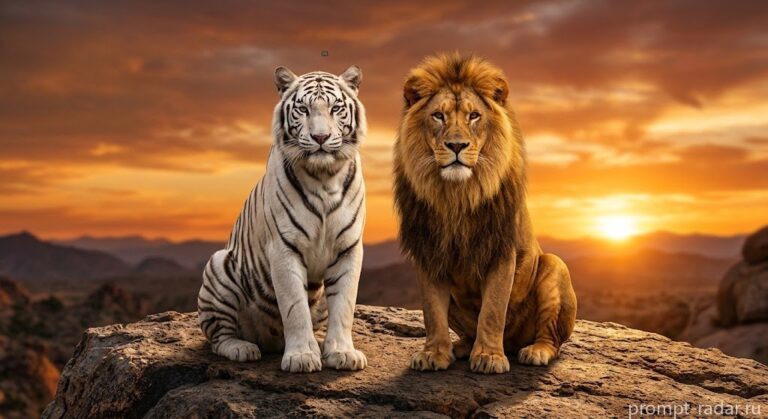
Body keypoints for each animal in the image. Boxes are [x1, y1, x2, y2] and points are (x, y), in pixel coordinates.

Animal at [197, 65, 367, 373]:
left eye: (336, 108)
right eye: (303, 109)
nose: (321, 137)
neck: (325, 178)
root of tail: (269, 342)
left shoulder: (348, 248)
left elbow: (345, 306)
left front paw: (342, 353)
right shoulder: (284, 248)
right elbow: (295, 307)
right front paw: (301, 357)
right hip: (218, 266)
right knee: (218, 337)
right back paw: (242, 349)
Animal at [393, 54, 577, 374]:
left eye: (474, 116)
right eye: (438, 116)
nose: (456, 145)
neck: (456, 196)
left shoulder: (501, 250)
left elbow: (492, 309)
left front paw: (490, 357)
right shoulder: (429, 252)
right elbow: (432, 311)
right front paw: (433, 353)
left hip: (555, 266)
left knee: (551, 338)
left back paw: (535, 351)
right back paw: (461, 347)